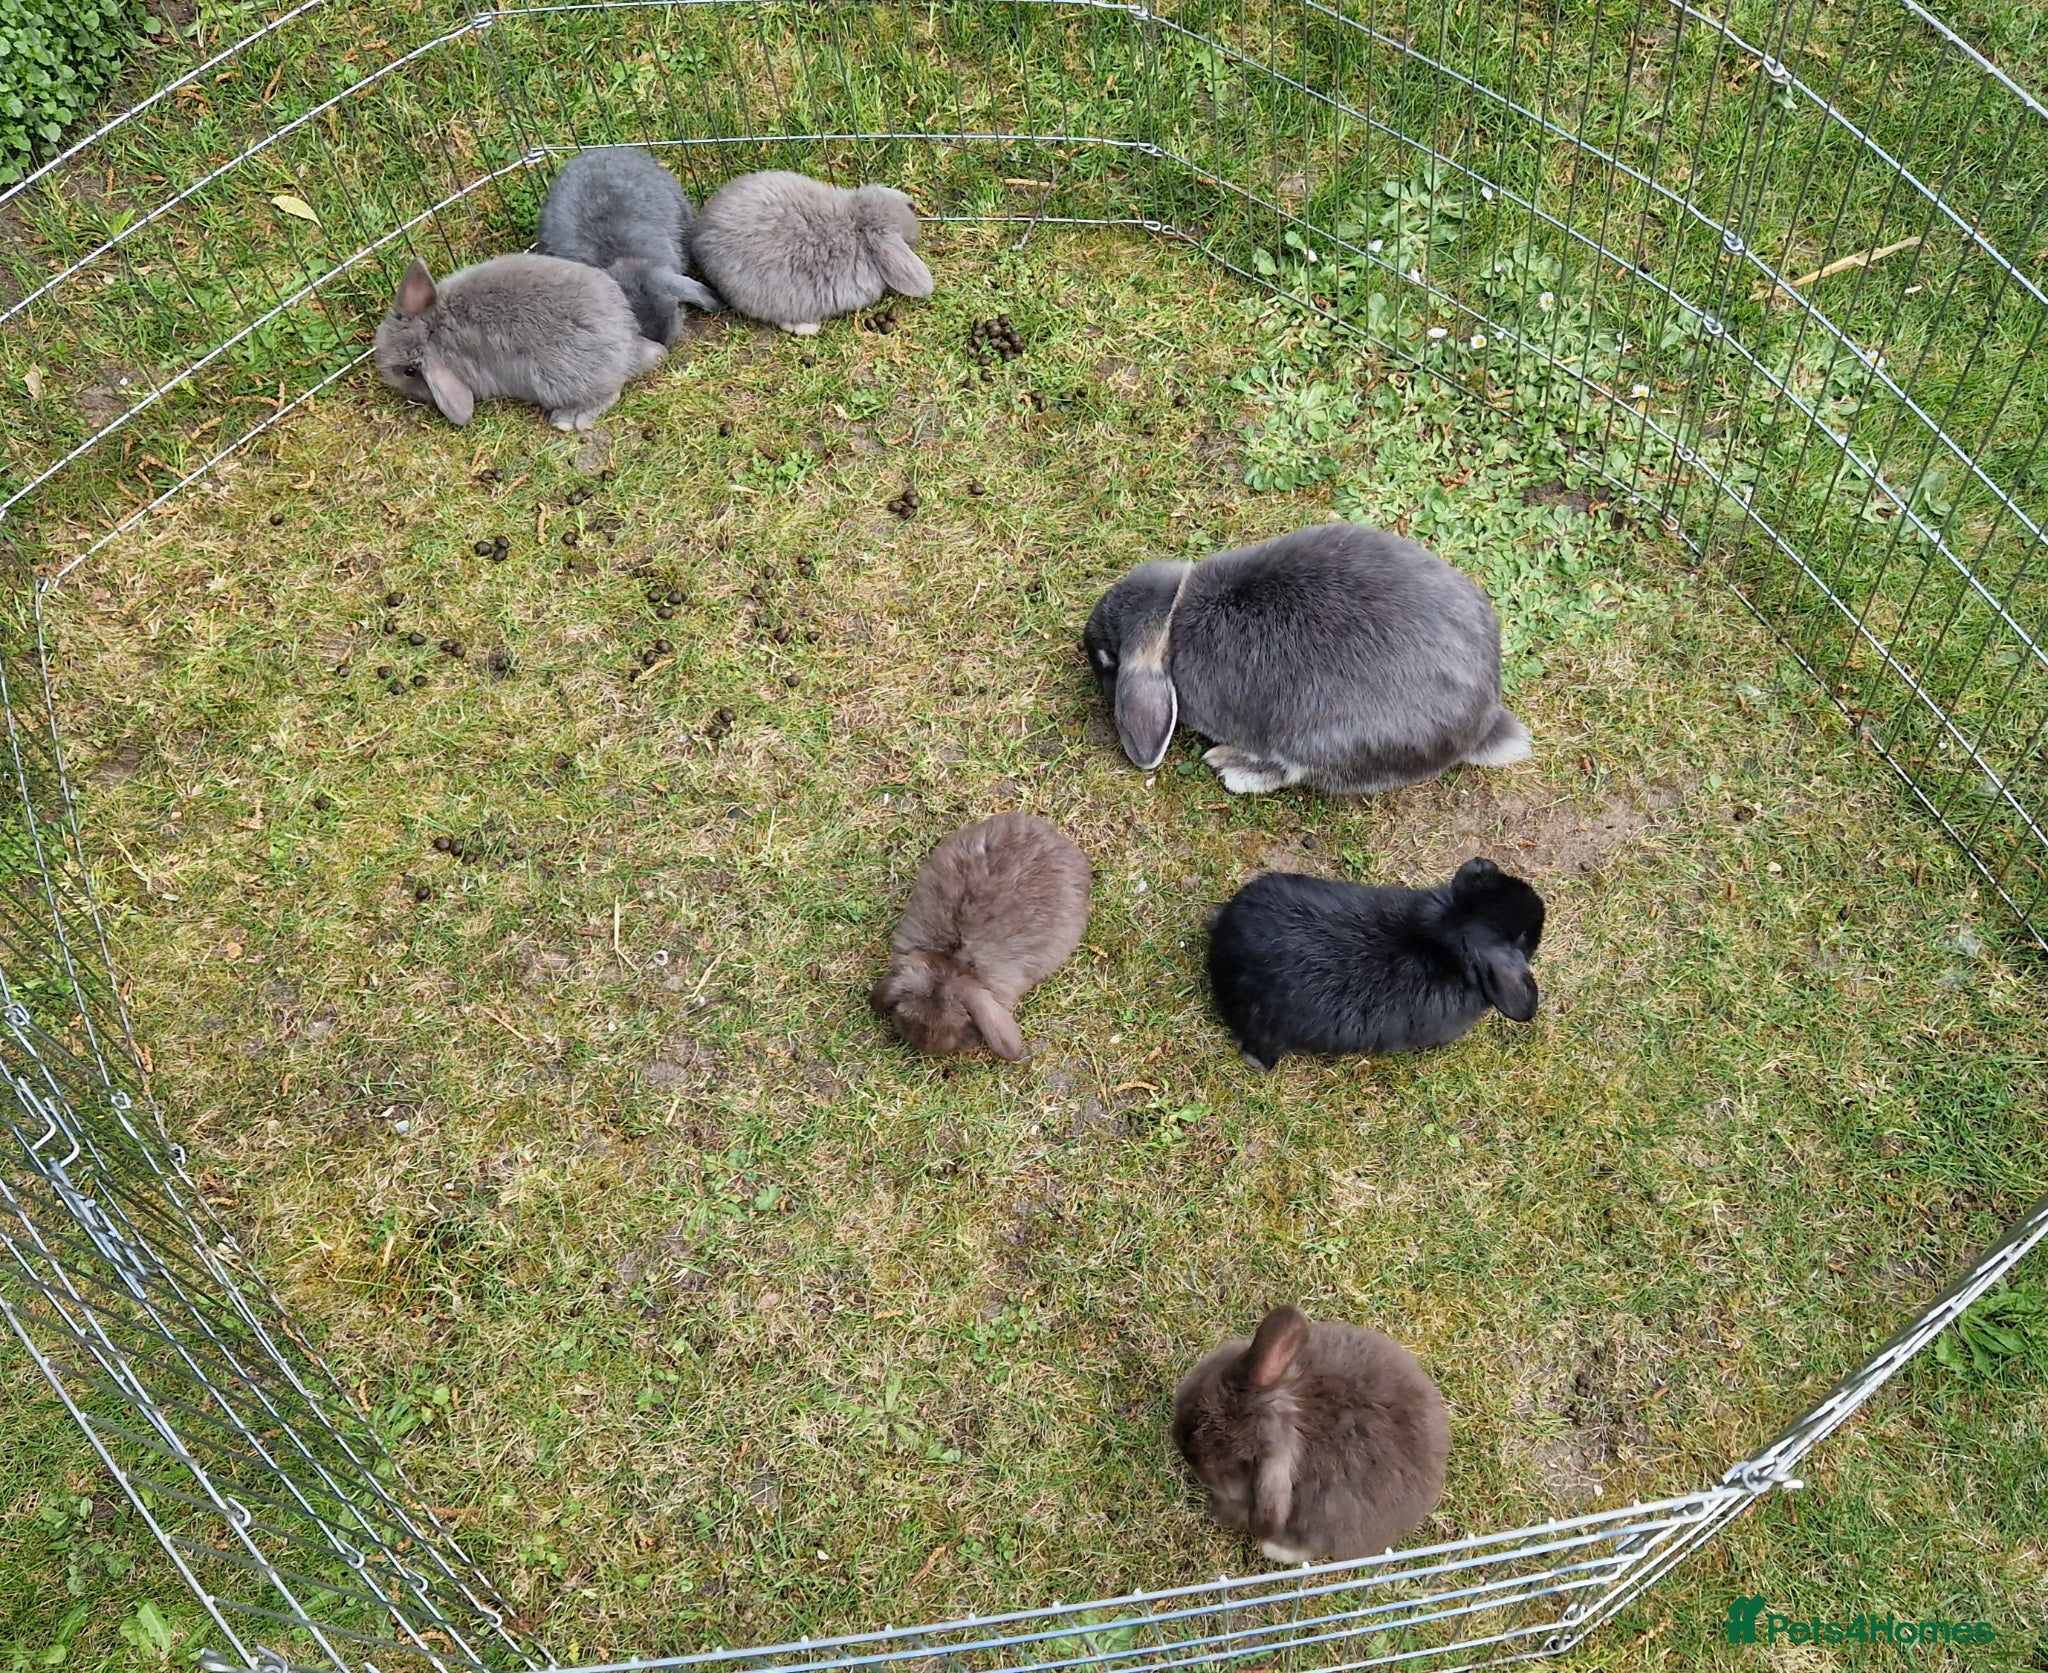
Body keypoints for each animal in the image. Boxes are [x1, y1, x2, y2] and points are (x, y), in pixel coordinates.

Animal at [374, 255, 666, 432]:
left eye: (409, 371)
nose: (384, 373)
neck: (435, 328)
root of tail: (630, 346)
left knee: (610, 393)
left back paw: (567, 420)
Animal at [1082, 522, 1531, 796]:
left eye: (1107, 658)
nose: (1083, 647)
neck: (1174, 618)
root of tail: (1483, 723)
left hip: (1324, 741)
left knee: (1294, 770)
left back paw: (1231, 765)